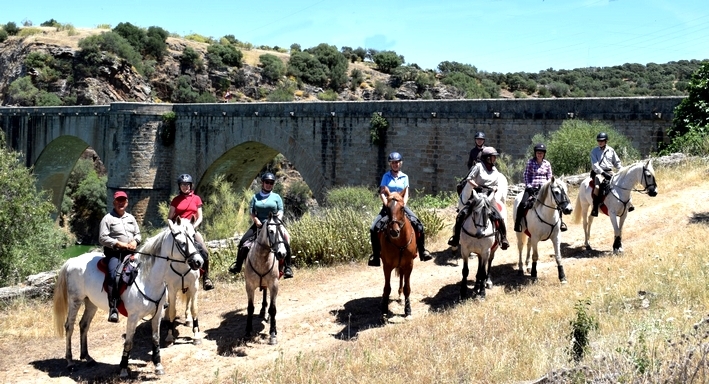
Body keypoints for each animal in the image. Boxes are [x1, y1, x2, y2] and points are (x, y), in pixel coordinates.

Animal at [51, 219, 202, 378]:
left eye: (193, 237)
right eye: (182, 243)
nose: (198, 262)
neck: (146, 279)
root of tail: (72, 261)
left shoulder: (157, 313)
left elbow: (155, 339)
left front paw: (158, 366)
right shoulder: (133, 317)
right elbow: (129, 342)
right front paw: (123, 368)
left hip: (91, 303)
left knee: (83, 325)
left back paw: (87, 357)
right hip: (75, 300)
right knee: (69, 326)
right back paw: (70, 362)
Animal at [243, 213, 288, 344]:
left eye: (282, 230)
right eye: (271, 231)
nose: (282, 253)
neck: (262, 258)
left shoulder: (274, 285)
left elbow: (273, 309)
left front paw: (273, 333)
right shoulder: (249, 286)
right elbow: (250, 308)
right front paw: (248, 332)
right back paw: (263, 311)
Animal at [378, 187, 418, 320]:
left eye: (402, 208)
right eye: (386, 209)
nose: (394, 231)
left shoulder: (409, 265)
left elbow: (407, 288)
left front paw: (408, 311)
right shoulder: (387, 266)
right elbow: (387, 288)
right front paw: (384, 310)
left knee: (402, 278)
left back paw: (400, 296)